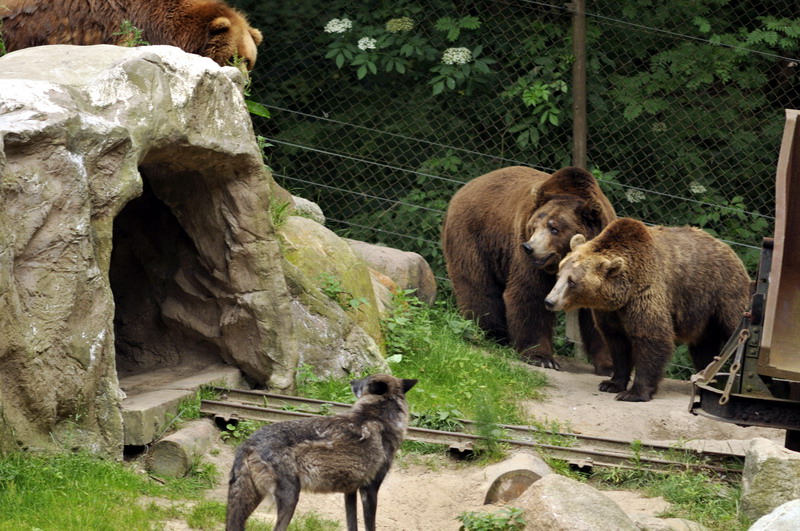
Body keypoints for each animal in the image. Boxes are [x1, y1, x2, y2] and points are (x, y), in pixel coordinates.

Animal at [225, 373, 418, 531]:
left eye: (363, 380)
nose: (351, 381)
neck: (378, 417)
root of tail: (249, 442)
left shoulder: (350, 491)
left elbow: (352, 525)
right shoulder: (369, 490)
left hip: (251, 501)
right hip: (290, 499)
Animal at [442, 165, 616, 373]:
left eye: (554, 228)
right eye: (534, 226)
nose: (529, 247)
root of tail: (465, 187)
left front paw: (609, 366)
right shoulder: (527, 259)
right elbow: (530, 294)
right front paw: (542, 358)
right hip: (475, 237)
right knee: (478, 285)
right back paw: (491, 333)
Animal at [544, 217, 751, 402]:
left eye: (572, 281)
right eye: (559, 275)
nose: (549, 301)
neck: (623, 292)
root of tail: (730, 250)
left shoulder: (646, 294)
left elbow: (651, 338)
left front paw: (633, 393)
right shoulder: (611, 313)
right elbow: (617, 343)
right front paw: (611, 383)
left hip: (724, 294)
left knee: (734, 328)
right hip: (703, 315)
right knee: (704, 348)